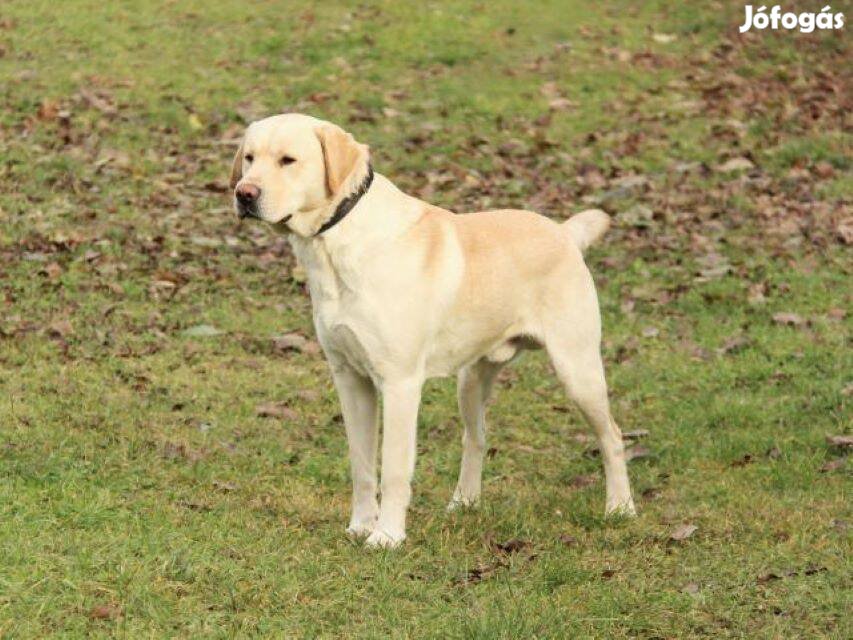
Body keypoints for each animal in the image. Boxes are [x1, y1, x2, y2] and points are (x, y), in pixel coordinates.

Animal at [230, 112, 636, 548]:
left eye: (288, 160)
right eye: (249, 158)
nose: (244, 194)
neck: (338, 242)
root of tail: (564, 232)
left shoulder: (400, 383)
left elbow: (393, 468)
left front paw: (387, 535)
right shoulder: (350, 378)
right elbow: (361, 463)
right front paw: (361, 525)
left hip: (578, 371)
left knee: (613, 436)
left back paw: (620, 508)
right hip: (471, 380)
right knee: (476, 437)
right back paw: (464, 503)